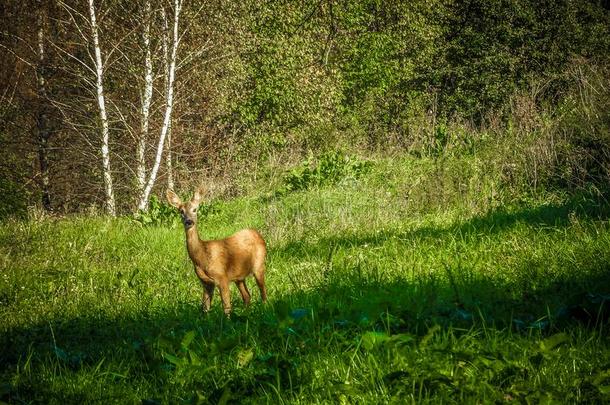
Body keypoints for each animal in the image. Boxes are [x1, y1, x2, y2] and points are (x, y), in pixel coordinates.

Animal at [166, 187, 266, 316]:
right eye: (181, 211)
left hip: (259, 265)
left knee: (263, 293)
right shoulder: (206, 283)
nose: (189, 221)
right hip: (239, 276)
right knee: (247, 296)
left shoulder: (222, 277)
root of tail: (258, 234)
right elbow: (205, 308)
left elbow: (227, 307)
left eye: (195, 209)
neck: (203, 256)